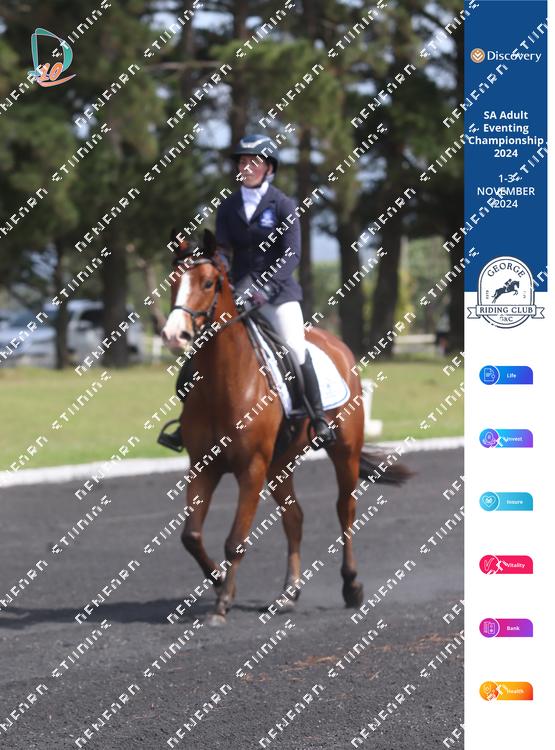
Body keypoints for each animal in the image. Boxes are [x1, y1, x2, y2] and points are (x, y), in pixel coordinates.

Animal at [161, 229, 411, 626]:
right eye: (172, 282)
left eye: (208, 282)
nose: (174, 335)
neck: (222, 381)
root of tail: (337, 345)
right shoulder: (203, 465)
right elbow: (191, 535)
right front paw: (218, 581)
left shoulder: (250, 468)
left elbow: (236, 539)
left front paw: (222, 602)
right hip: (280, 464)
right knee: (294, 518)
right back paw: (288, 594)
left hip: (343, 452)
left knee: (345, 509)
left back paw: (351, 586)